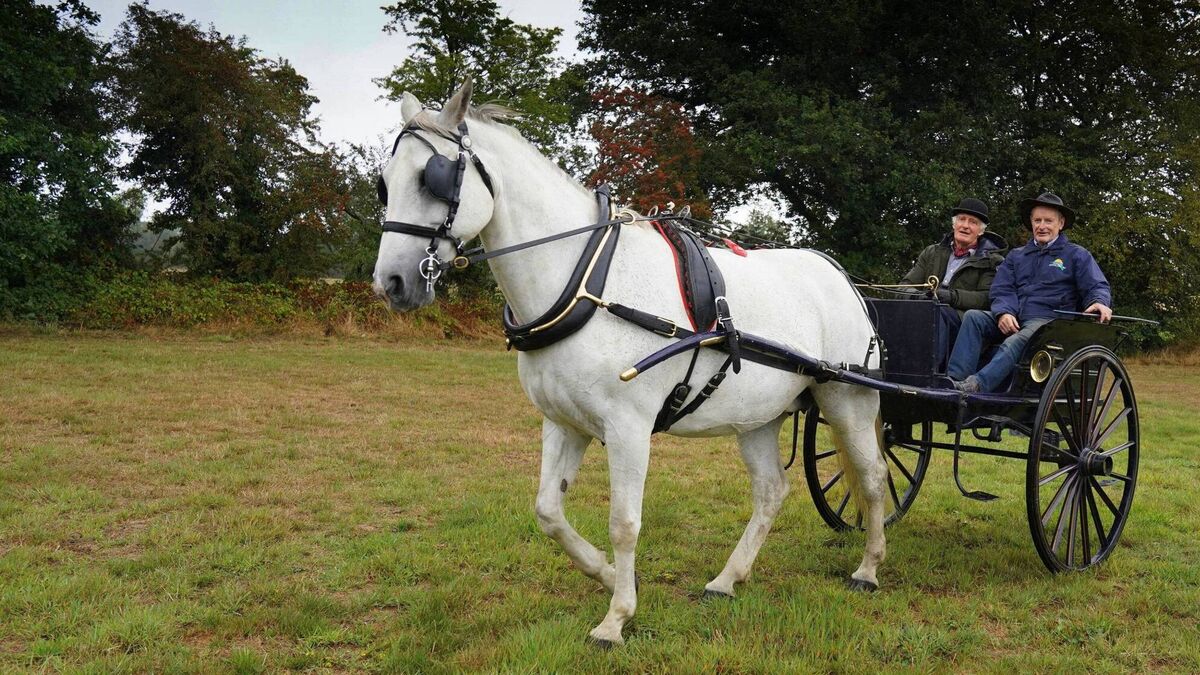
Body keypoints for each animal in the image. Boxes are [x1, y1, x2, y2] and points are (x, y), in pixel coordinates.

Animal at [372, 81, 890, 647]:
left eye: (433, 179)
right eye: (385, 184)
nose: (391, 282)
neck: (586, 281)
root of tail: (839, 276)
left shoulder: (628, 427)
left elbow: (623, 522)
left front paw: (616, 617)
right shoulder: (564, 422)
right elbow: (548, 511)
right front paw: (604, 573)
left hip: (848, 399)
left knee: (872, 477)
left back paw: (868, 569)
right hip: (756, 416)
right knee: (772, 491)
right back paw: (727, 579)